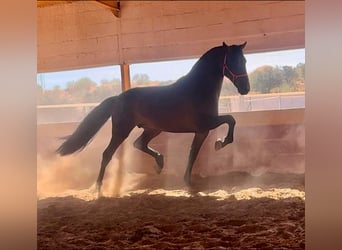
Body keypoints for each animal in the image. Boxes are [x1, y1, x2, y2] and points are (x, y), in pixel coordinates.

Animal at [56, 42, 250, 193]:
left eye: (244, 60)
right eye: (232, 61)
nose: (245, 88)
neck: (199, 89)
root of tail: (117, 98)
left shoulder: (202, 131)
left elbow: (193, 154)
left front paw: (188, 182)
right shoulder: (205, 124)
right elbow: (230, 119)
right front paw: (221, 143)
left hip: (153, 129)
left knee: (139, 143)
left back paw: (159, 163)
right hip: (121, 131)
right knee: (107, 154)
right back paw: (98, 188)